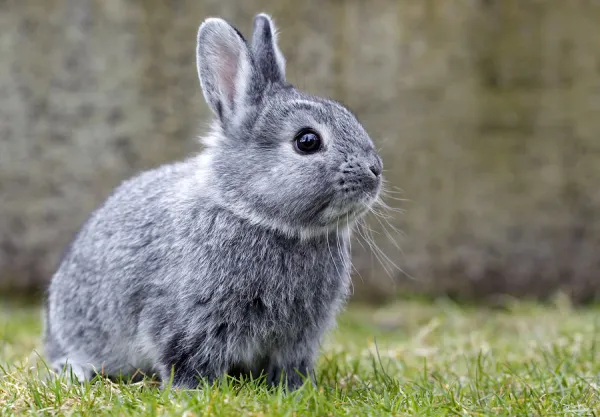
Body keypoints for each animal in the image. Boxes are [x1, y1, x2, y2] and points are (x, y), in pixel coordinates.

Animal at [42, 13, 382, 390]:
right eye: (307, 141)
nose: (375, 170)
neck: (254, 214)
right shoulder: (190, 320)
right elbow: (188, 357)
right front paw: (193, 390)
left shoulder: (299, 337)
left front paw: (293, 389)